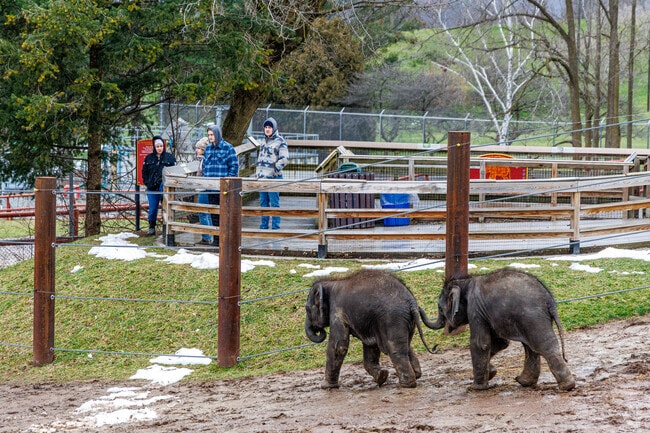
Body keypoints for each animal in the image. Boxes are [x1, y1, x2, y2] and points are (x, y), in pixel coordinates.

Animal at [304, 269, 437, 389]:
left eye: (307, 309)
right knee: (406, 345)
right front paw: (382, 376)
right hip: (406, 321)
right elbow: (370, 345)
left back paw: (405, 385)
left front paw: (326, 387)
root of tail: (412, 302)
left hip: (392, 318)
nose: (318, 329)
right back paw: (415, 376)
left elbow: (339, 347)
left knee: (395, 349)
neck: (331, 282)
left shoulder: (337, 311)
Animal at [428, 268, 576, 391]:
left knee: (542, 345)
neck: (465, 281)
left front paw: (475, 388)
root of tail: (549, 300)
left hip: (531, 317)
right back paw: (525, 382)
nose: (435, 347)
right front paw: (491, 373)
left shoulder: (475, 309)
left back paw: (566, 386)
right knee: (531, 346)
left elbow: (481, 343)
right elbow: (500, 343)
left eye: (440, 308)